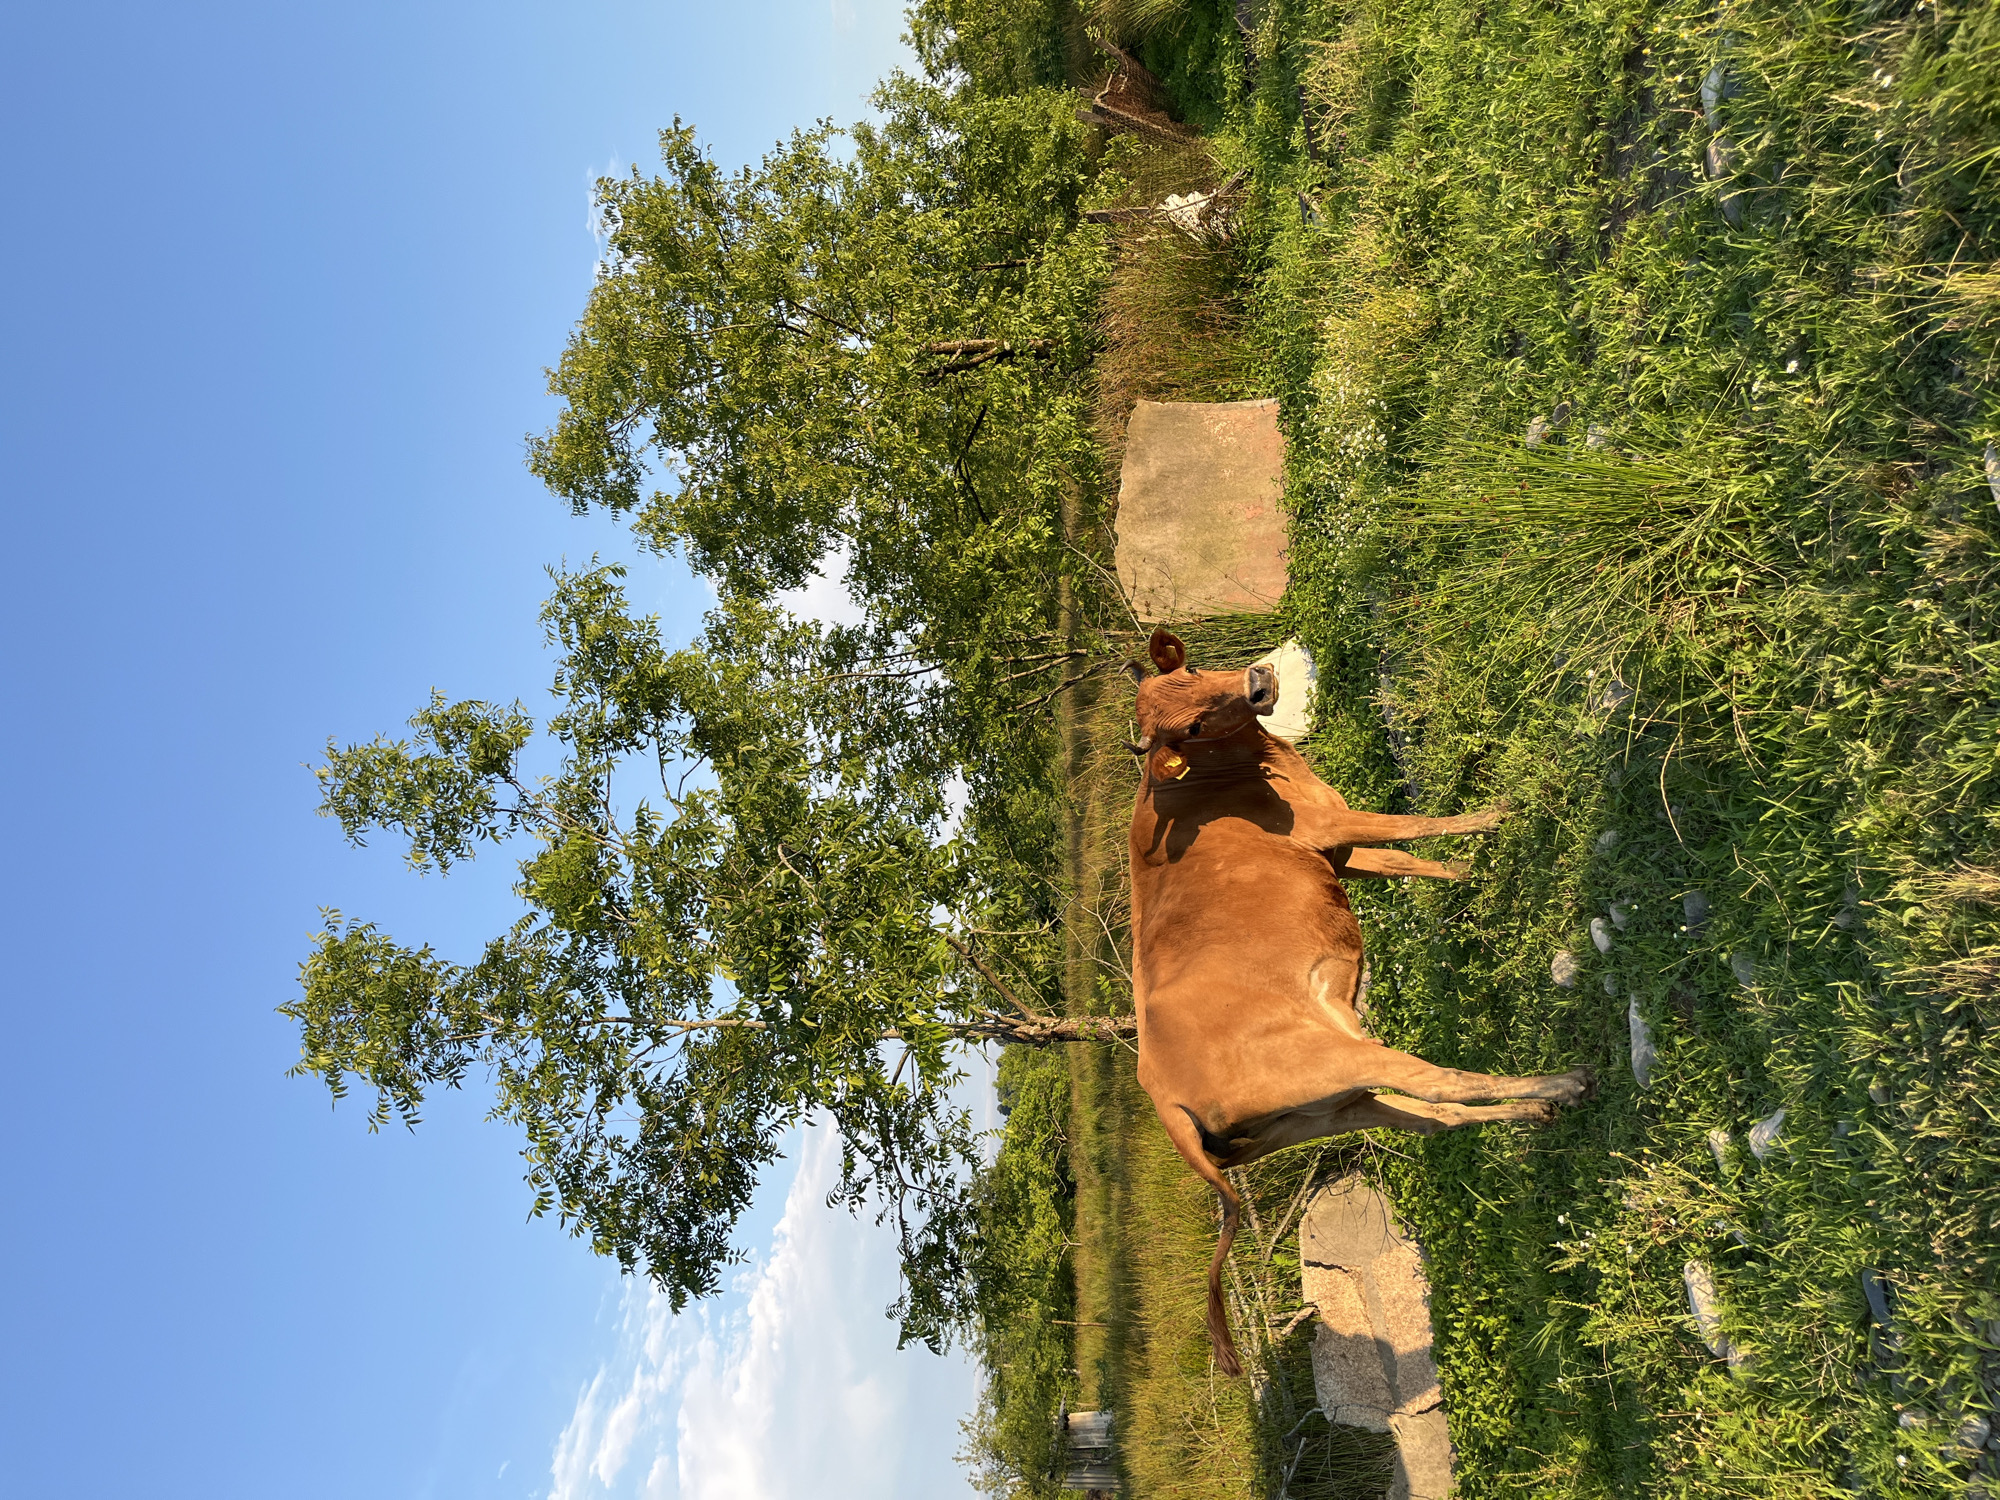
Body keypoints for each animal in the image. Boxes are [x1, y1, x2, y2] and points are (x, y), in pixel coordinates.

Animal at [1126, 627, 1594, 1377]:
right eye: (1187, 728)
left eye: (1192, 674)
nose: (1259, 683)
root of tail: (1163, 1094)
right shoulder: (1332, 824)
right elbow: (1418, 825)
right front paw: (1501, 813)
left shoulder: (1339, 850)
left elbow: (1418, 862)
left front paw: (1474, 873)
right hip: (1337, 1061)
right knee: (1440, 1083)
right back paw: (1562, 1084)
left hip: (1325, 1111)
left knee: (1429, 1120)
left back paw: (1533, 1112)